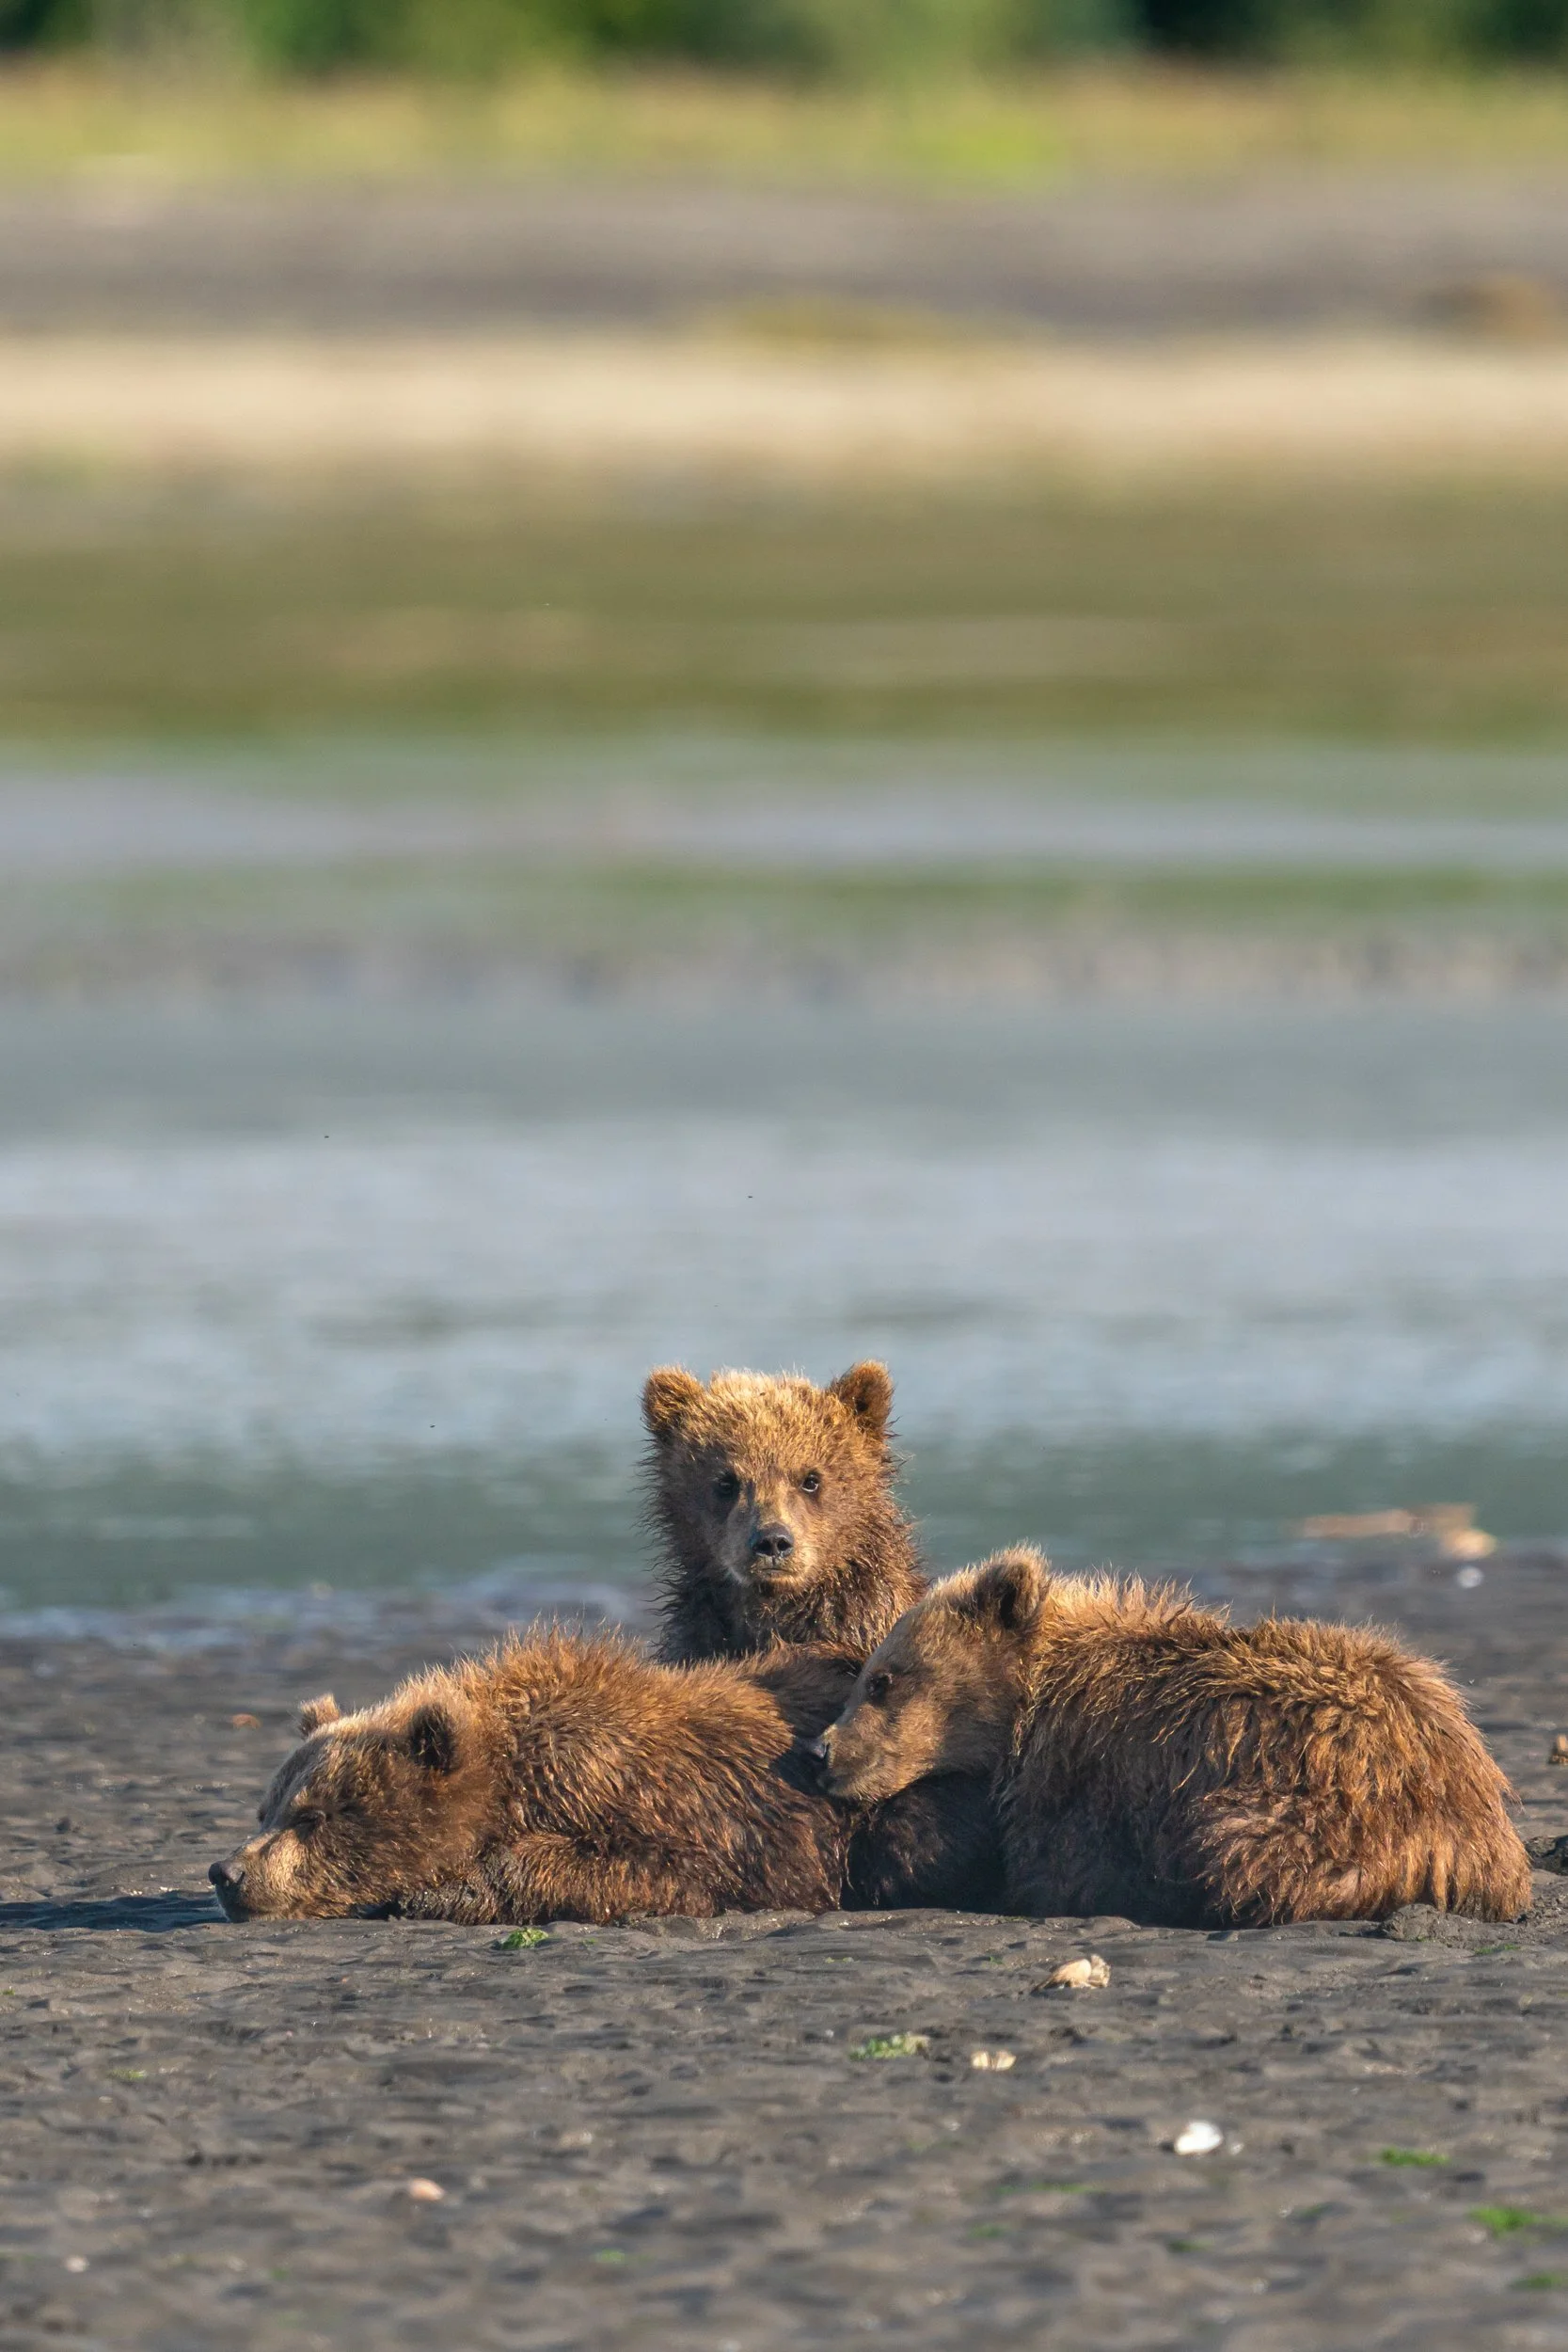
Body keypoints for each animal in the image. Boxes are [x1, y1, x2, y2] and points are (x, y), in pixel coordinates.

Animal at [209, 1633, 858, 1926]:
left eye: (312, 1816)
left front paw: (438, 1892)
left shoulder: (681, 1813)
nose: (226, 1872)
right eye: (267, 1809)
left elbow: (663, 1871)